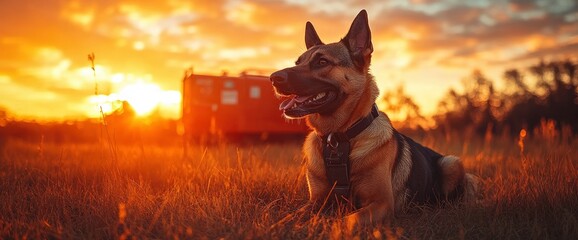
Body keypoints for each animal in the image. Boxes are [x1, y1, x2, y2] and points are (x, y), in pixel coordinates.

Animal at [268, 9, 476, 228]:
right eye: (297, 63)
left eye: (322, 62)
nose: (273, 78)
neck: (338, 139)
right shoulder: (314, 201)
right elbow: (288, 218)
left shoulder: (381, 204)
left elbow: (344, 222)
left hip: (451, 163)